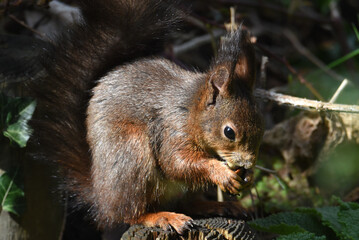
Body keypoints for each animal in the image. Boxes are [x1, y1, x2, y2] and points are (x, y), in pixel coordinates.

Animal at [27, 0, 264, 234]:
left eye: (260, 129)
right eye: (229, 132)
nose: (248, 163)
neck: (190, 112)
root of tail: (100, 197)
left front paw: (248, 178)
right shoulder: (171, 129)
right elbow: (176, 162)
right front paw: (221, 173)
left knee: (186, 203)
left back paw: (215, 206)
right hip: (132, 154)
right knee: (128, 213)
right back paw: (161, 217)